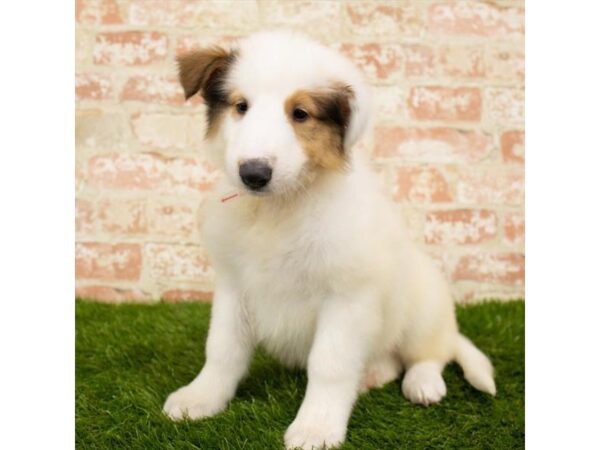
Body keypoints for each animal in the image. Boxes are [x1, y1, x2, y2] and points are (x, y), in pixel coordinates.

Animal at [162, 29, 494, 448]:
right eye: (241, 106)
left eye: (300, 114)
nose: (253, 173)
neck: (280, 209)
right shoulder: (234, 286)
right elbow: (222, 349)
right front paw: (201, 397)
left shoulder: (347, 298)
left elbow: (329, 365)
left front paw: (316, 427)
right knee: (392, 360)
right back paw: (375, 373)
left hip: (424, 307)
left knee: (429, 353)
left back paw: (423, 383)